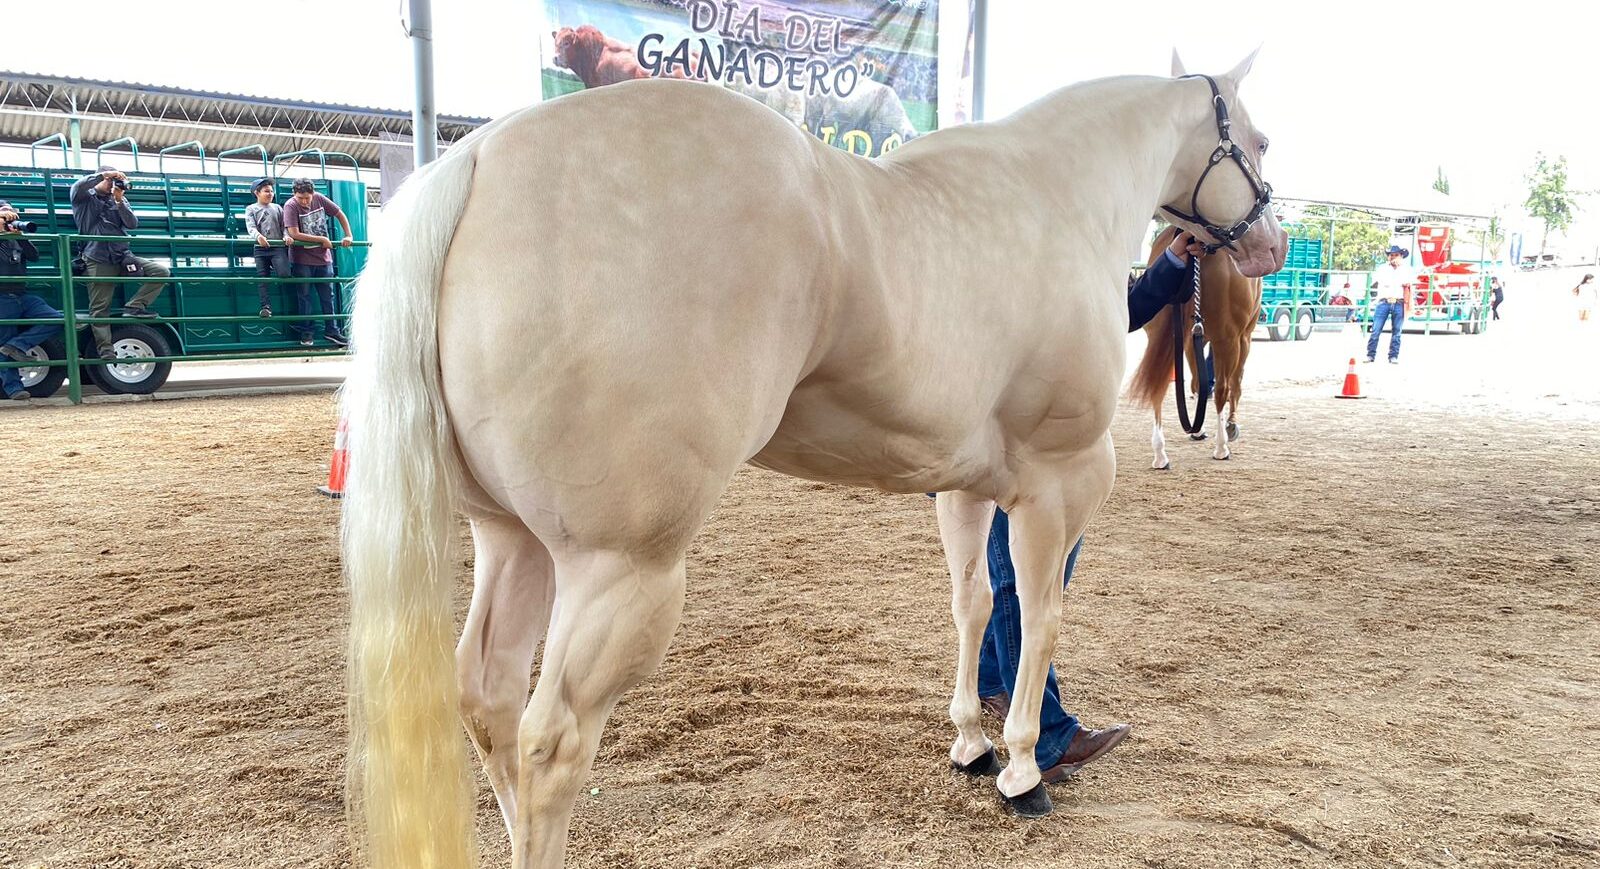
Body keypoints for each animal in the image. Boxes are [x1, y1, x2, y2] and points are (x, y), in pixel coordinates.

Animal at [1128, 224, 1263, 467]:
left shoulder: (1192, 340)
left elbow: (1195, 384)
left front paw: (1197, 431)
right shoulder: (1243, 338)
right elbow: (1234, 383)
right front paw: (1231, 425)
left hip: (1160, 335)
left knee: (1157, 389)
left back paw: (1160, 454)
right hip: (1227, 340)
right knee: (1223, 388)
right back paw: (1221, 447)